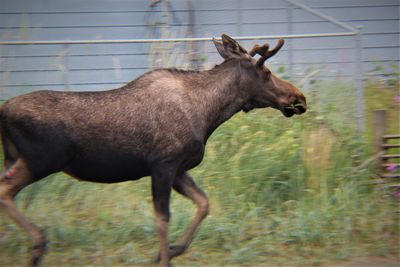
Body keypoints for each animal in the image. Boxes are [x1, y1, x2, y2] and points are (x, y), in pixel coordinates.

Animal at [0, 34, 306, 266]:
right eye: (266, 72)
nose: (299, 97)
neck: (209, 114)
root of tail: (4, 112)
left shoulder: (179, 169)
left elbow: (204, 203)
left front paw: (171, 250)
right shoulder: (163, 165)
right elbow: (163, 220)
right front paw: (164, 256)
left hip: (19, 160)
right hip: (39, 161)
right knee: (5, 191)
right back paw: (38, 243)